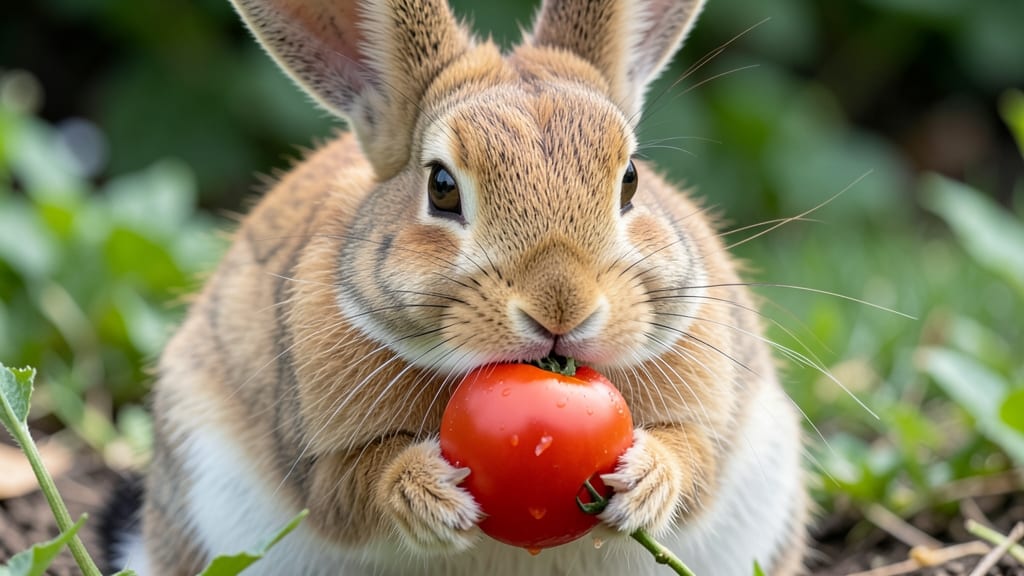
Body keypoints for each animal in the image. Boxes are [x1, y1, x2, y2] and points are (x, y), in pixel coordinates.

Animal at [107, 0, 809, 574]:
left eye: (631, 179)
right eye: (441, 187)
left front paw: (646, 482)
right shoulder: (312, 451)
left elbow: (695, 459)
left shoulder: (709, 417)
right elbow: (351, 487)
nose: (561, 307)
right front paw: (428, 493)